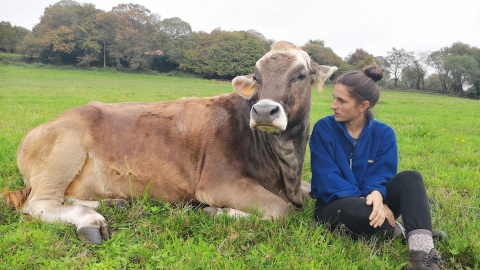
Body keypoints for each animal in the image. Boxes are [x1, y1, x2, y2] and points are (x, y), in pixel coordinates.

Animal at [4, 40, 338, 245]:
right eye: (256, 77)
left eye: (301, 75)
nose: (264, 110)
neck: (285, 171)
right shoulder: (218, 182)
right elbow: (280, 211)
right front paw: (215, 212)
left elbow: (309, 192)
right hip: (62, 154)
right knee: (38, 204)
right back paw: (89, 220)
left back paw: (114, 203)